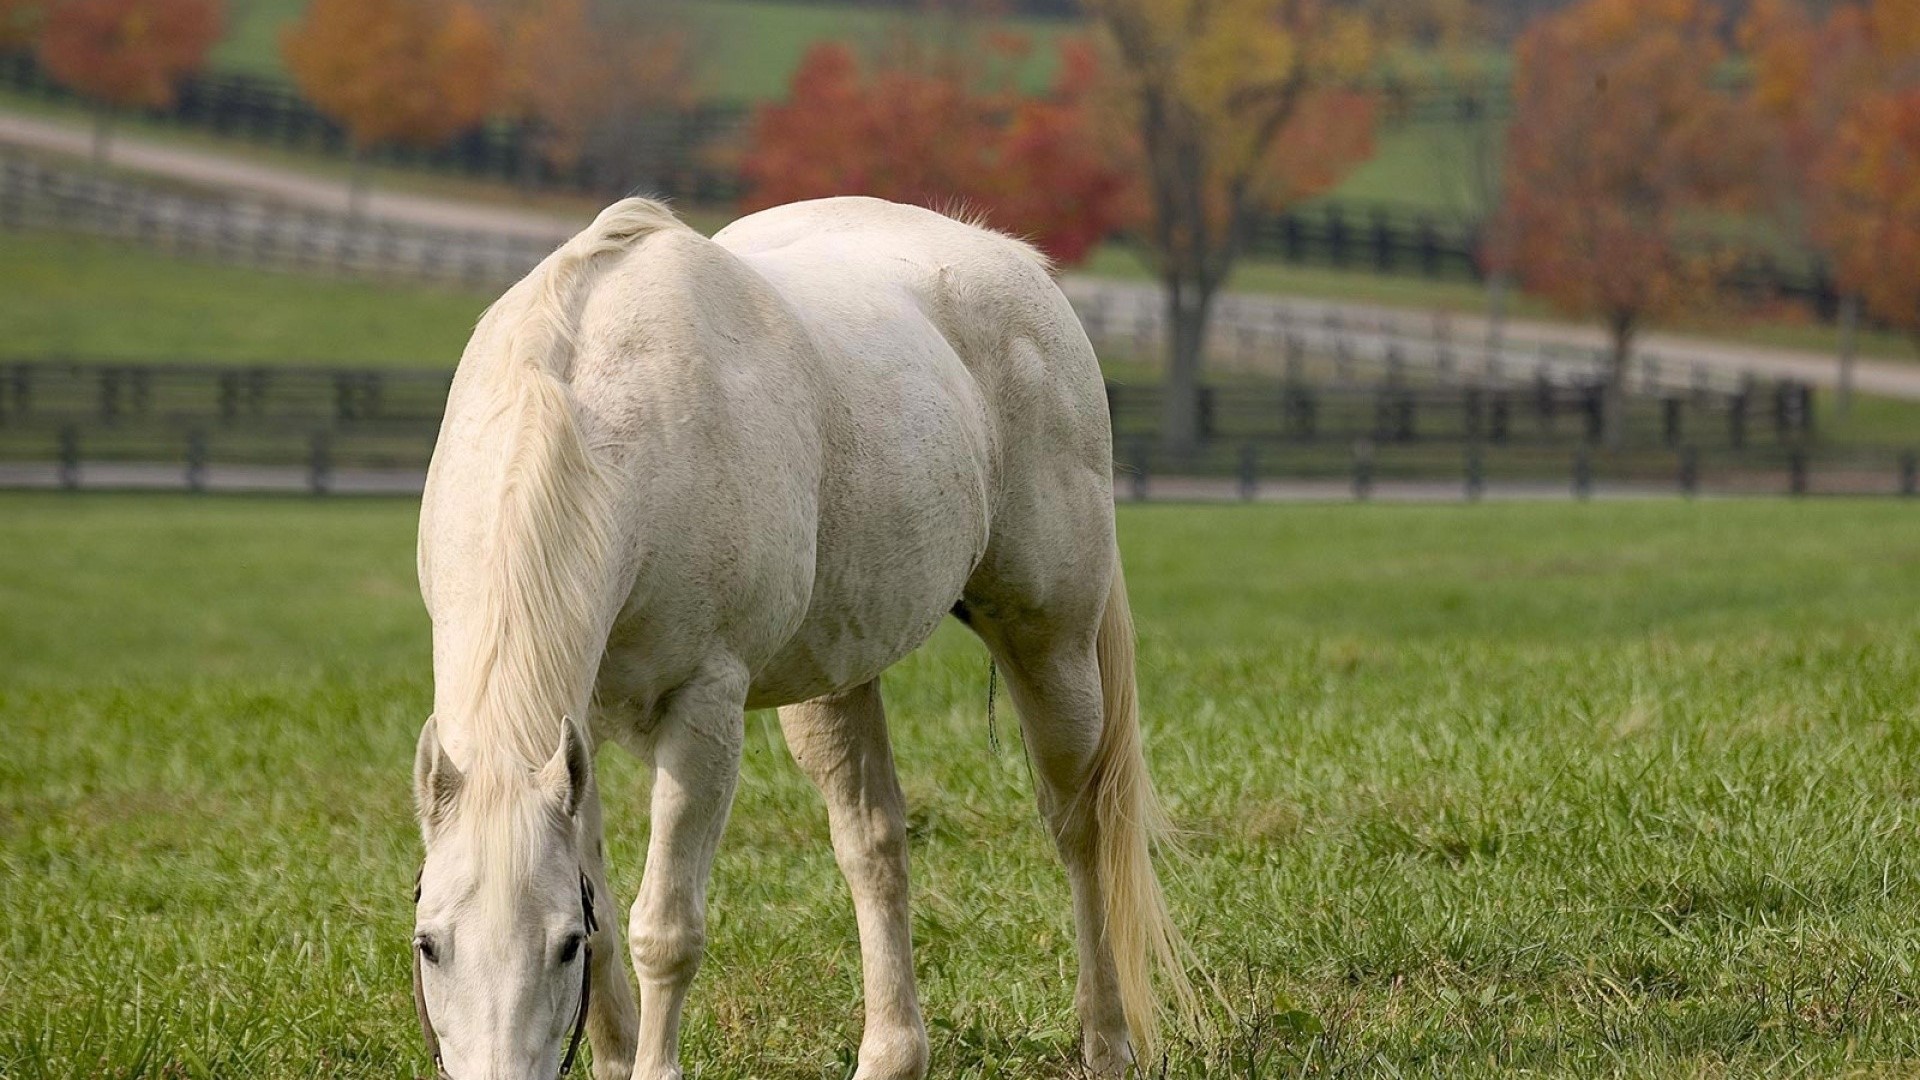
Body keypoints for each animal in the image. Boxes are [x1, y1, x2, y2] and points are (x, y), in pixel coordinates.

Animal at [411, 195, 1194, 1080]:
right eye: (429, 944)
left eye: (560, 946)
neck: (597, 421)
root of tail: (1019, 263)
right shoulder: (578, 732)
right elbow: (613, 917)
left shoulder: (704, 711)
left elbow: (662, 932)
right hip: (836, 682)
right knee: (873, 844)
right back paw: (891, 1053)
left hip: (1053, 647)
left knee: (1080, 827)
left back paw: (1107, 1041)